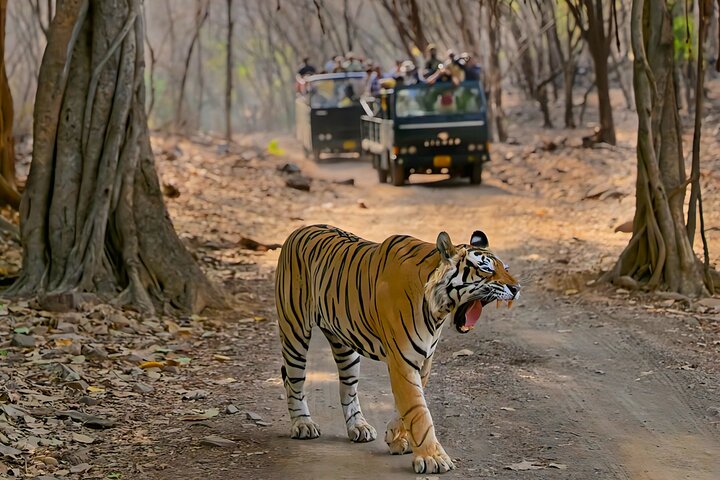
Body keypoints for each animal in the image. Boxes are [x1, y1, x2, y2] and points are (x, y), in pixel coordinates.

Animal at [275, 224, 520, 474]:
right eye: (486, 269)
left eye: (506, 269)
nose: (517, 288)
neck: (437, 311)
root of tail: (300, 229)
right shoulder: (403, 360)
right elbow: (418, 410)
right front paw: (432, 458)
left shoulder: (424, 359)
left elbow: (409, 405)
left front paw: (395, 436)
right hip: (295, 330)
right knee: (293, 381)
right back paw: (303, 424)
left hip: (345, 346)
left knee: (347, 389)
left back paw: (359, 426)